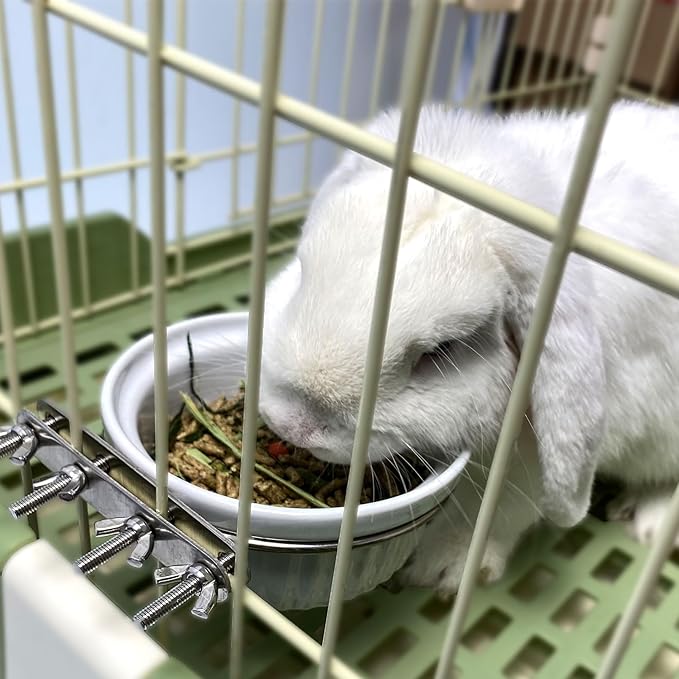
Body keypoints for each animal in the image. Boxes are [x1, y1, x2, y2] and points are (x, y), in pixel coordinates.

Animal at [258, 101, 679, 597]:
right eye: (303, 271)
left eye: (441, 351)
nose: (291, 424)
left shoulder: (525, 469)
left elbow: (495, 515)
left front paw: (442, 570)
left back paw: (646, 522)